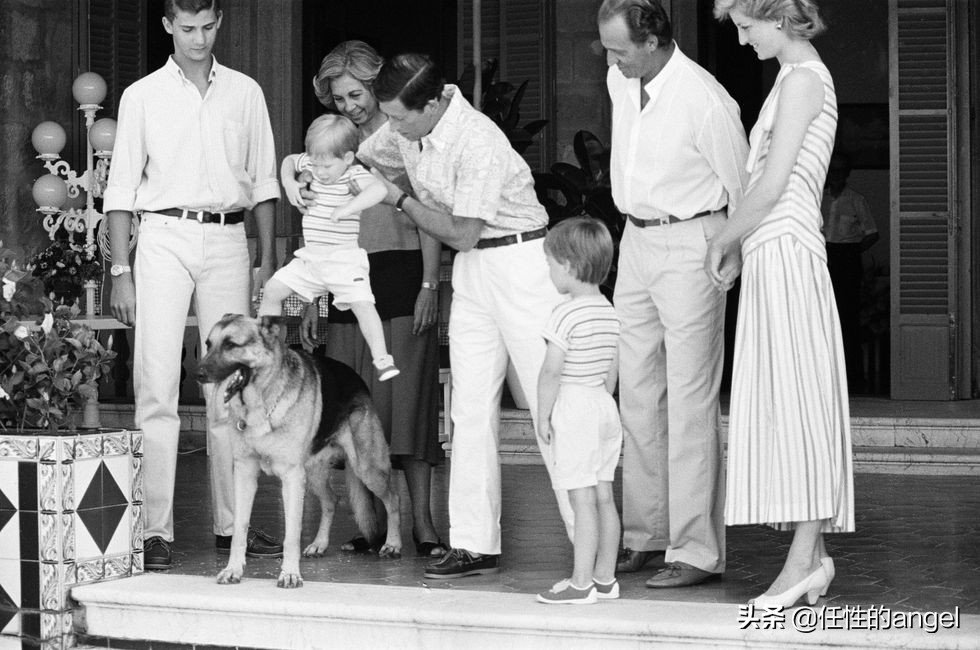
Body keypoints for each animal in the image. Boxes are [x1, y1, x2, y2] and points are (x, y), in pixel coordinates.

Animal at [197, 314, 400, 588]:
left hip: (367, 468)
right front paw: (233, 570)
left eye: (231, 344)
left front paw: (290, 574)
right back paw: (319, 544)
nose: (198, 373)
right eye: (208, 344)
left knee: (393, 499)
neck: (262, 405)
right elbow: (239, 527)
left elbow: (292, 533)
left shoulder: (292, 478)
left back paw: (393, 544)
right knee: (331, 501)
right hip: (313, 474)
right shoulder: (244, 474)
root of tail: (357, 379)